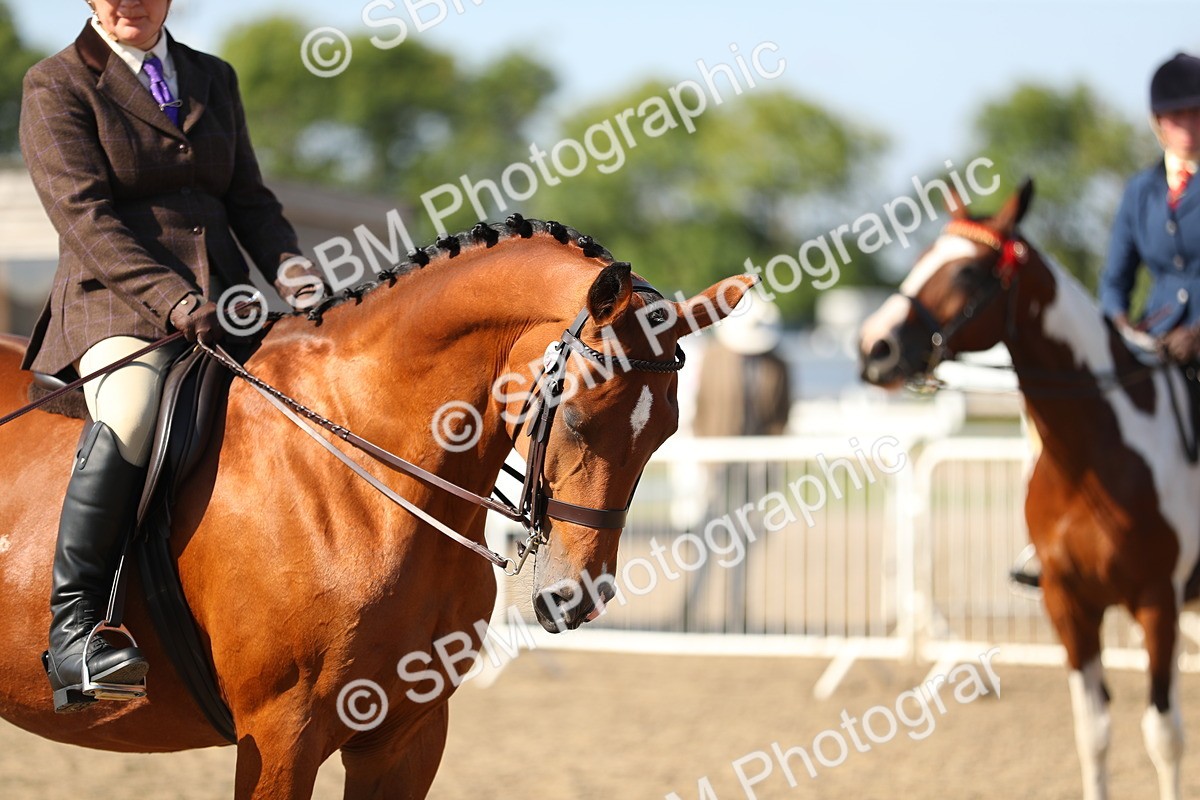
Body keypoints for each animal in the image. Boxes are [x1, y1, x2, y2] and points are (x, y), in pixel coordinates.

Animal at [857, 180, 1199, 800]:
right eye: (922, 258)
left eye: (970, 272)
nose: (875, 348)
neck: (1094, 458)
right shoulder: (1068, 603)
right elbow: (1094, 732)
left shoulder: (1157, 602)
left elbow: (1164, 737)